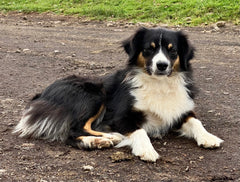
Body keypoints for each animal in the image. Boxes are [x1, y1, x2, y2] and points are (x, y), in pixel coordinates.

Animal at [13, 26, 223, 161]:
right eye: (148, 49)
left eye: (173, 51)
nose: (162, 65)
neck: (159, 84)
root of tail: (42, 94)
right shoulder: (121, 116)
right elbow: (139, 130)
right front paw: (147, 150)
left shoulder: (180, 109)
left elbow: (195, 121)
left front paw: (208, 137)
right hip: (95, 94)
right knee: (73, 130)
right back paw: (102, 139)